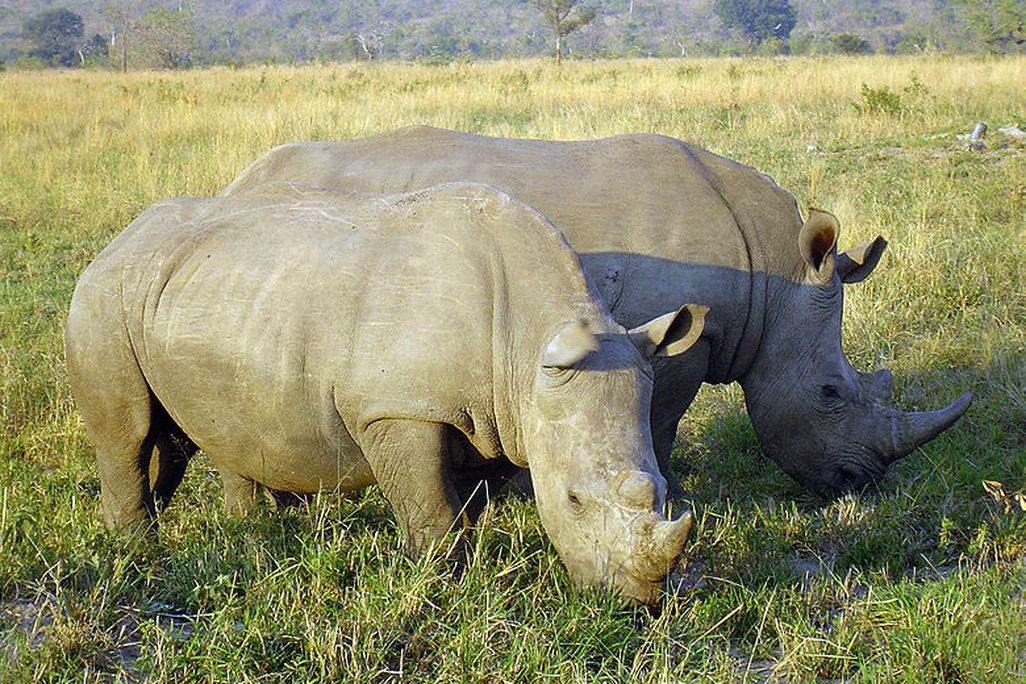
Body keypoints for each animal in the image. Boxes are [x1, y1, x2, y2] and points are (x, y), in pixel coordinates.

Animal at [65, 181, 706, 603]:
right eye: (572, 500)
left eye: (664, 491)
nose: (636, 601)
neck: (526, 345)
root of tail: (119, 238)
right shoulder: (399, 410)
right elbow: (430, 505)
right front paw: (439, 584)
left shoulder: (495, 416)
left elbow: (466, 501)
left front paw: (459, 568)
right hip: (103, 297)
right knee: (129, 433)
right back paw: (139, 553)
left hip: (196, 296)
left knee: (191, 431)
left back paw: (249, 531)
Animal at [222, 126, 972, 498]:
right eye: (830, 394)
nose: (858, 485)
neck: (778, 277)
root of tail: (238, 181)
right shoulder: (680, 337)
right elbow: (662, 424)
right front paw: (672, 491)